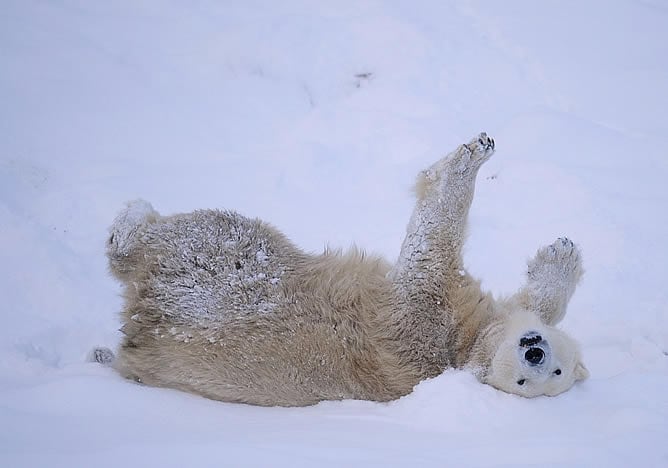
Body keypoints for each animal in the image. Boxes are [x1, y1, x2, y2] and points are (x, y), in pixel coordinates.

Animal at [98, 133, 584, 406]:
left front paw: (465, 162)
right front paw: (563, 254)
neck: (460, 351)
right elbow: (532, 302)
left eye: (537, 379)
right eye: (551, 370)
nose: (535, 354)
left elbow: (428, 256)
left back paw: (131, 220)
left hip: (223, 270)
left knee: (199, 233)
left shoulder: (422, 322)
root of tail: (142, 328)